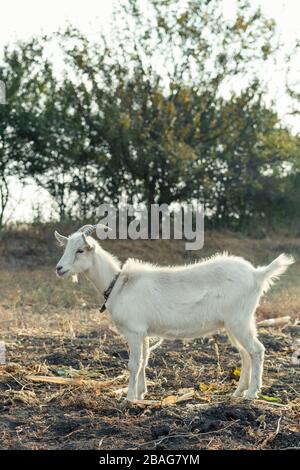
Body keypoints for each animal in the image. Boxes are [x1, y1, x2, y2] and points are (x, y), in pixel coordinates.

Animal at [55, 227, 294, 400]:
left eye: (80, 250)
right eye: (66, 248)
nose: (59, 269)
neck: (118, 284)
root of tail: (257, 274)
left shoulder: (133, 331)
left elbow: (134, 364)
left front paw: (129, 398)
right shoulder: (143, 332)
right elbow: (144, 361)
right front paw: (141, 393)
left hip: (239, 320)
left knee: (257, 350)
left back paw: (252, 394)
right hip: (238, 322)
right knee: (245, 353)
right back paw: (238, 391)